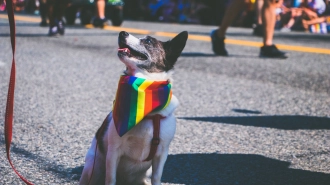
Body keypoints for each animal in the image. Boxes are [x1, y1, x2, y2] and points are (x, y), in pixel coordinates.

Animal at [79, 30, 188, 185]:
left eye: (148, 41)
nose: (122, 32)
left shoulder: (161, 154)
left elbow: (156, 177)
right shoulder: (113, 152)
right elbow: (110, 178)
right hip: (92, 168)